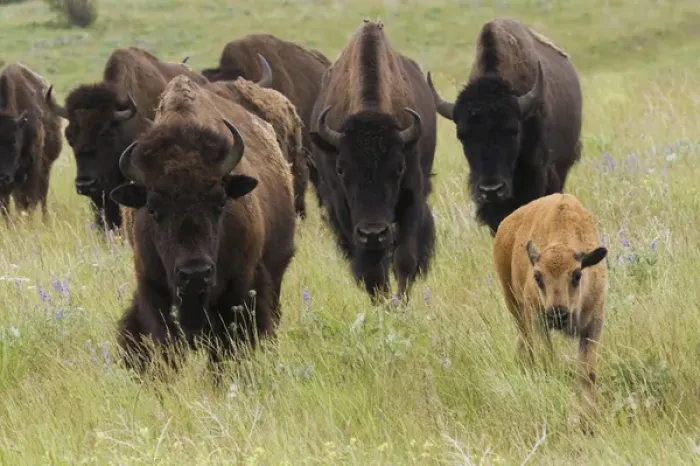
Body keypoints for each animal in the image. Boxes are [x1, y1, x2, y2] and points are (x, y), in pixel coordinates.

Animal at [0, 63, 62, 219]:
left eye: (14, 141)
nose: (2, 177)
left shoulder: (33, 165)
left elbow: (30, 201)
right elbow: (6, 207)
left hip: (45, 168)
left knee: (41, 197)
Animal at [308, 20, 437, 302]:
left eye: (398, 168)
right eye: (341, 170)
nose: (373, 233)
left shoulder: (412, 196)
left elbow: (405, 258)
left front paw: (400, 303)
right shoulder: (345, 211)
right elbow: (371, 269)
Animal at [493, 193, 607, 426]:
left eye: (577, 275)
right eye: (538, 276)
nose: (558, 314)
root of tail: (505, 225)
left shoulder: (594, 324)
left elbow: (587, 373)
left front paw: (590, 419)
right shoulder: (539, 321)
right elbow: (548, 362)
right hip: (515, 306)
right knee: (526, 344)